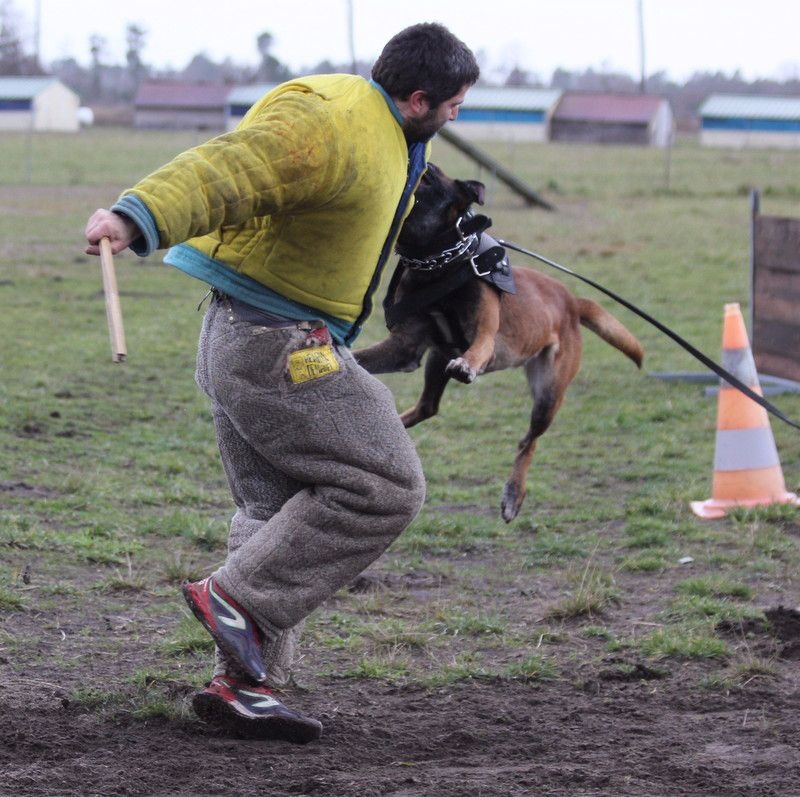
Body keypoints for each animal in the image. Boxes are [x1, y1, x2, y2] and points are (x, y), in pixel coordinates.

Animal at [356, 162, 644, 524]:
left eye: (430, 177)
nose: (406, 164)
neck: (439, 265)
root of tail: (572, 301)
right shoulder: (405, 349)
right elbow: (360, 358)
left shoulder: (484, 338)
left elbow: (477, 352)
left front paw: (467, 366)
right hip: (438, 359)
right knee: (427, 406)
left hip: (548, 393)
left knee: (528, 443)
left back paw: (513, 494)